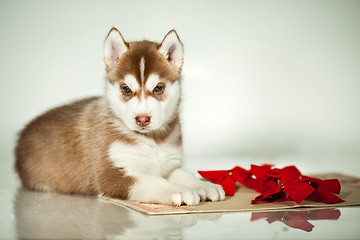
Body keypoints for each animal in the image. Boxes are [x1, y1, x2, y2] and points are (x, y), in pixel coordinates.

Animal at [16, 27, 226, 205]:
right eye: (126, 89)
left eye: (158, 88)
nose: (142, 119)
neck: (153, 140)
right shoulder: (111, 176)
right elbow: (153, 181)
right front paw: (178, 190)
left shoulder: (170, 164)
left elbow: (184, 174)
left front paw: (204, 185)